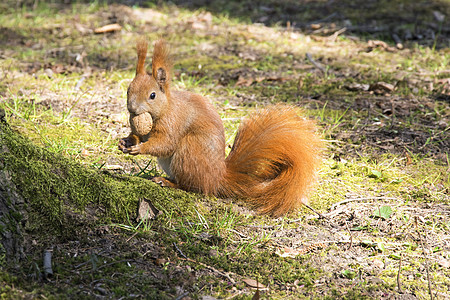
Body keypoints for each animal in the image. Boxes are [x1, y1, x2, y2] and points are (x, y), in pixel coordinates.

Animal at [118, 38, 324, 217]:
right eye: (128, 90)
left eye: (152, 95)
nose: (132, 109)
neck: (164, 109)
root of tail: (218, 177)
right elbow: (137, 134)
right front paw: (126, 142)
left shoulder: (174, 123)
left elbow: (165, 144)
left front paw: (140, 148)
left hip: (189, 151)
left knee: (193, 187)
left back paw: (166, 182)